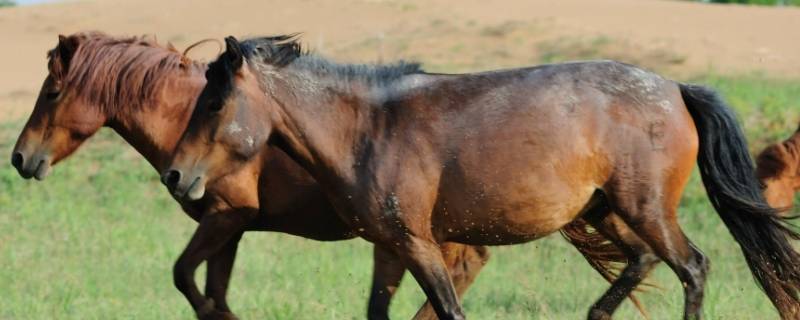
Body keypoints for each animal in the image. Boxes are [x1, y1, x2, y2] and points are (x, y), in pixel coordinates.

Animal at [9, 32, 628, 320]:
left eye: (53, 91)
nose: (19, 159)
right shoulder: (231, 228)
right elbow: (209, 286)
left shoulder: (226, 218)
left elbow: (187, 278)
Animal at [161, 33, 800, 318]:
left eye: (213, 104)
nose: (174, 175)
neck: (369, 129)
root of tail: (675, 89)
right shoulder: (389, 246)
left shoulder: (418, 243)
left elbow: (449, 310)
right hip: (607, 210)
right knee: (641, 263)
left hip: (645, 209)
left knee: (692, 267)